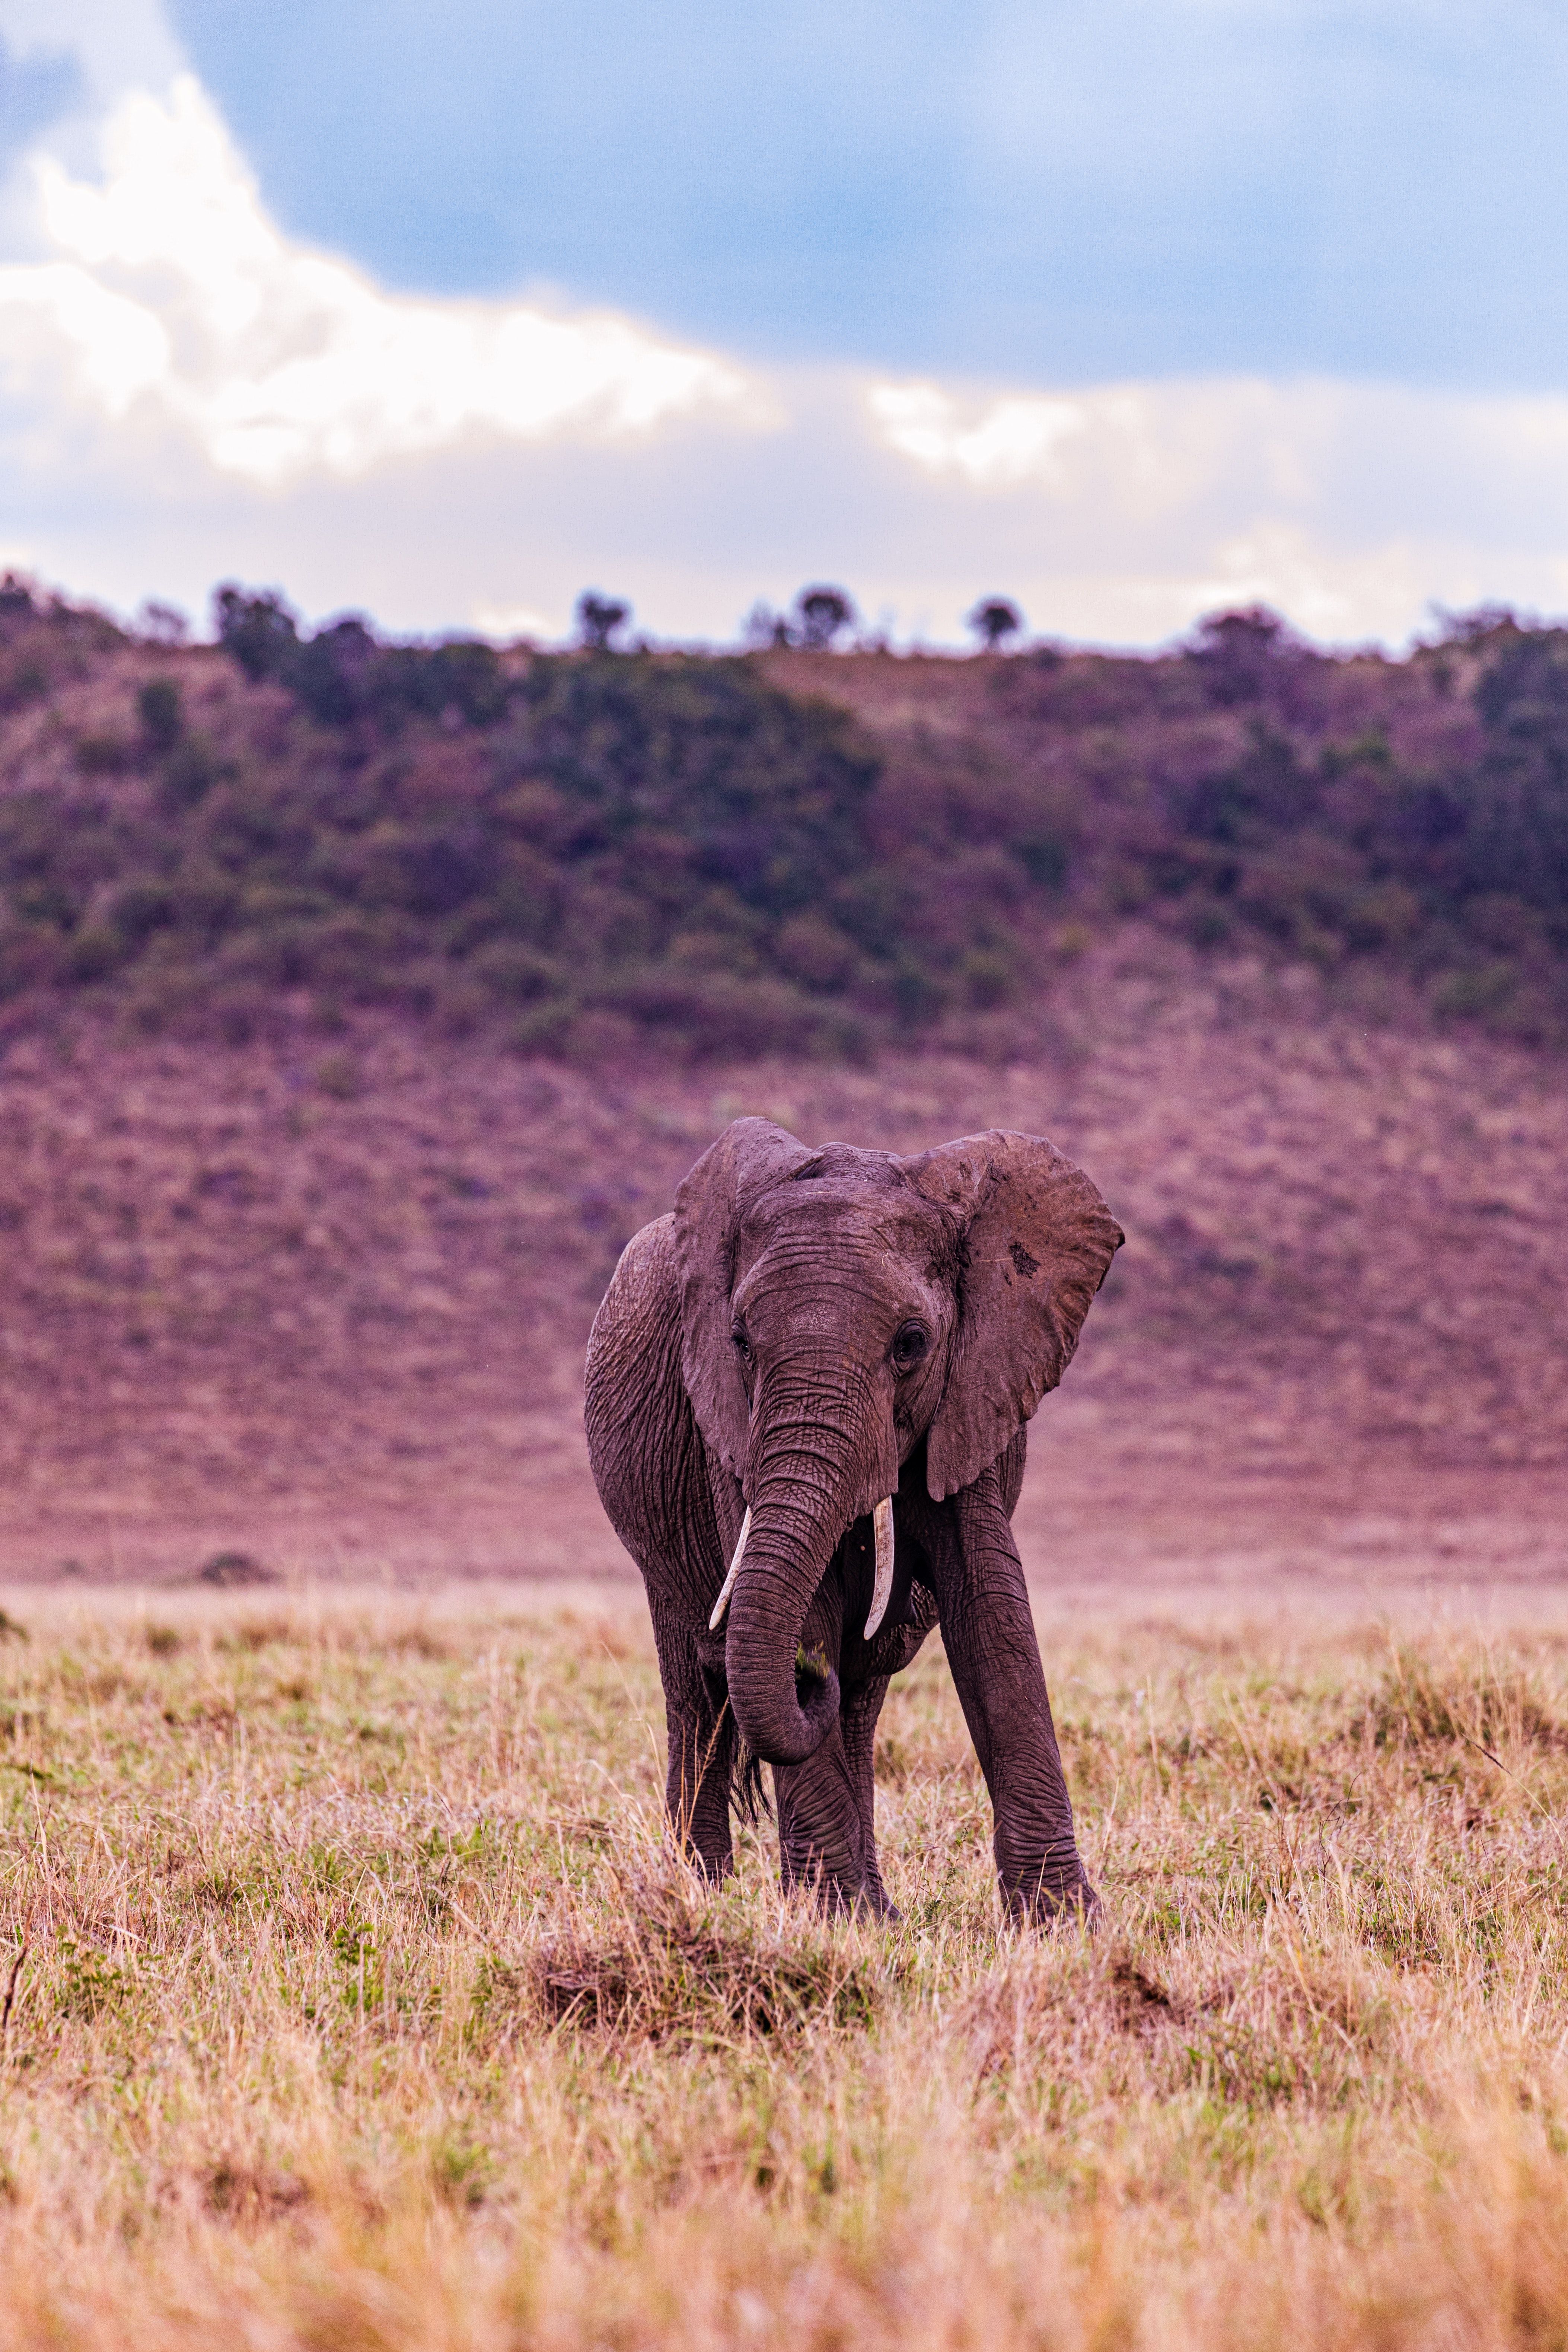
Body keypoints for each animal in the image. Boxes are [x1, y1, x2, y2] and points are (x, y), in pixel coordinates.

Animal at [583, 1124, 1124, 1928]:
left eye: (912, 1342)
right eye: (740, 1341)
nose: (807, 1676)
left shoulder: (975, 1390)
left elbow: (991, 1605)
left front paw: (1062, 1923)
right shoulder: (728, 1429)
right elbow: (808, 1603)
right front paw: (835, 1920)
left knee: (859, 1700)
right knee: (697, 1688)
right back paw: (706, 1894)